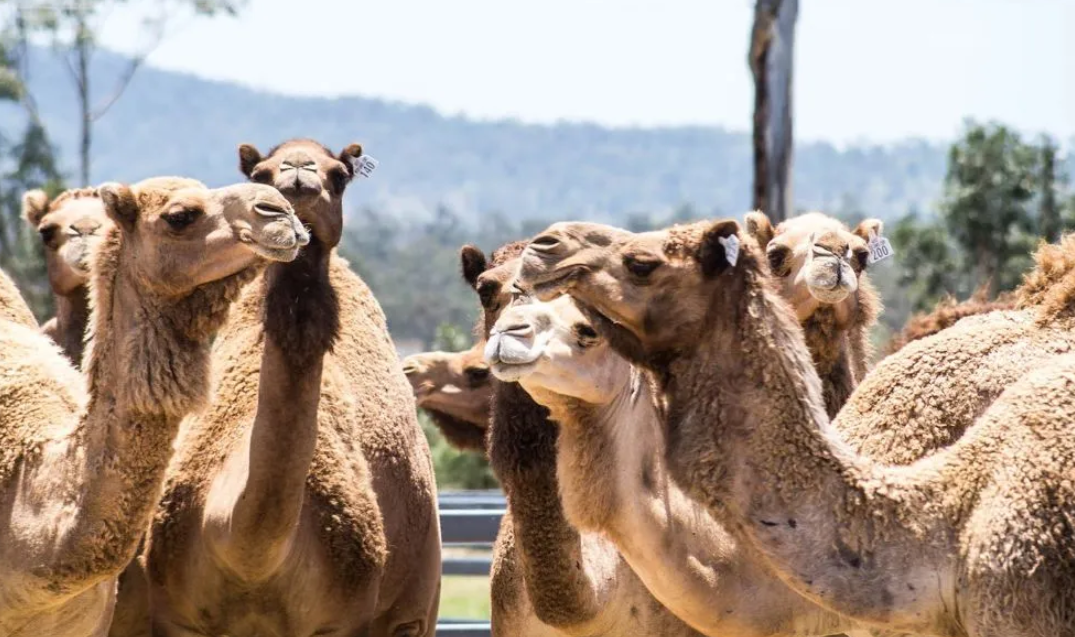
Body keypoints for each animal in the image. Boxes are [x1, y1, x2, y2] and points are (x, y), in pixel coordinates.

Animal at [142, 139, 441, 637]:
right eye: (260, 174)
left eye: (340, 175)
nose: (298, 172)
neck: (251, 560)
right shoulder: (176, 617)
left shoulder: (344, 621)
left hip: (417, 607)